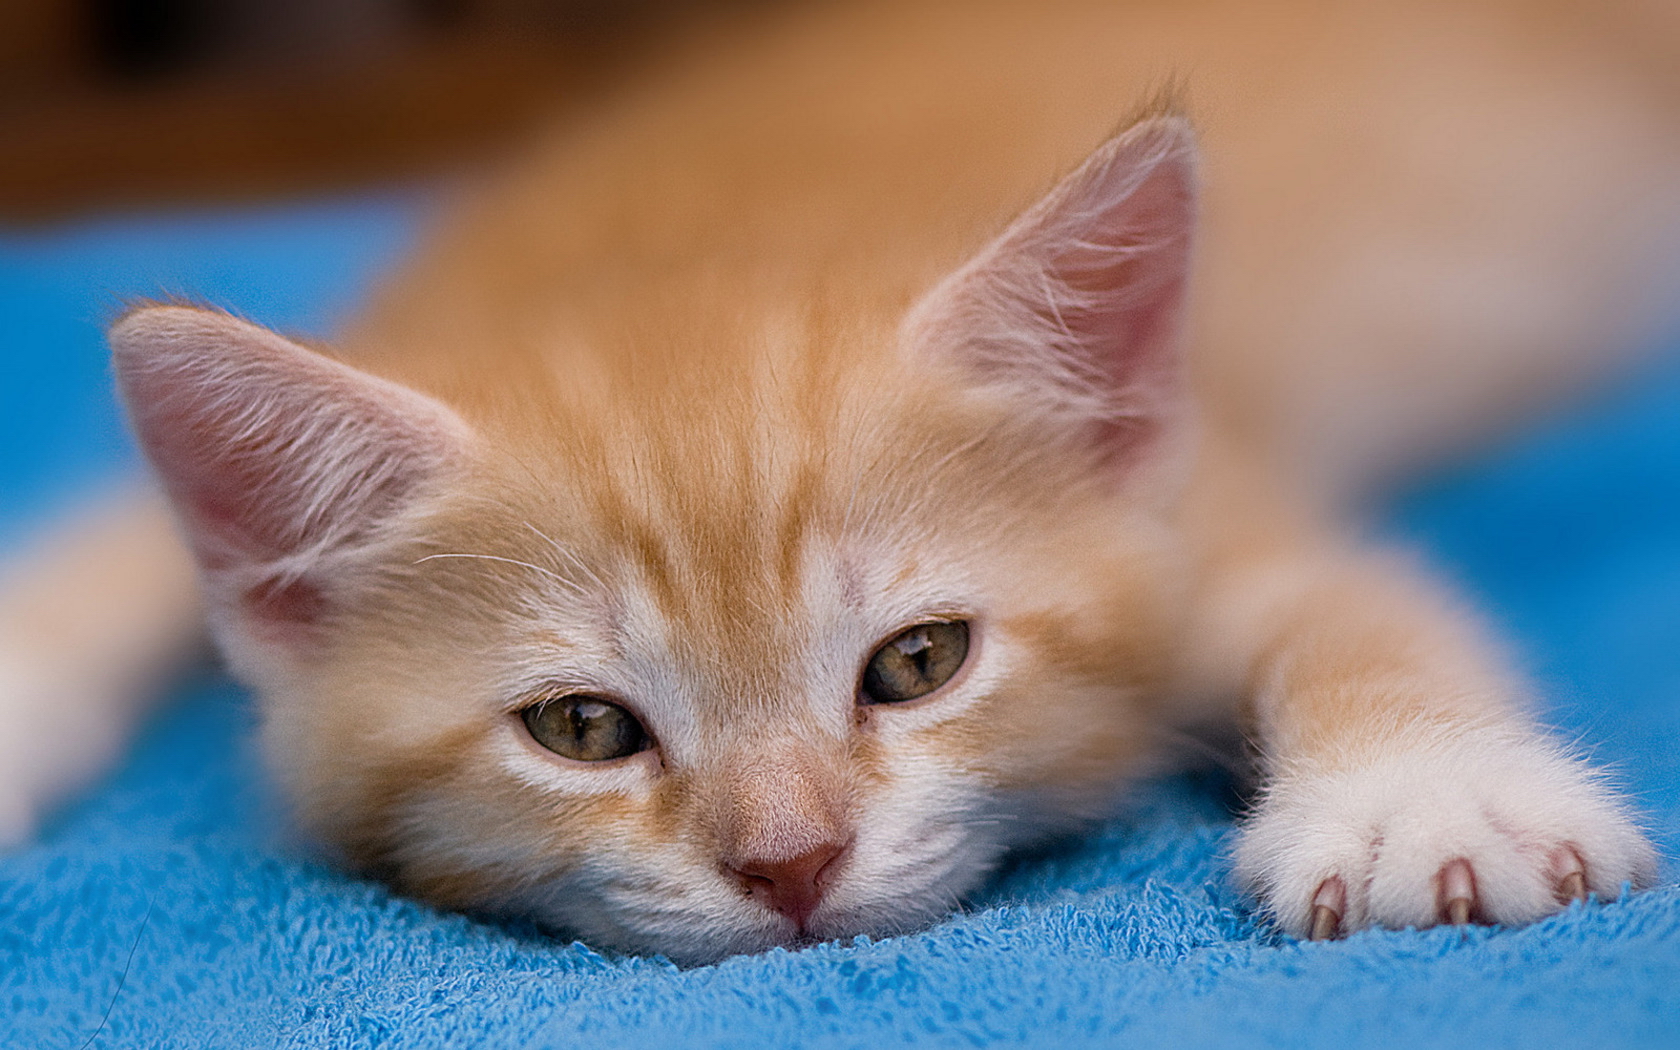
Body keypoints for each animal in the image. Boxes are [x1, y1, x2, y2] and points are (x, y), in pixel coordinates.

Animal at [3, 0, 1680, 960]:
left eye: (918, 661)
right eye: (583, 727)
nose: (790, 862)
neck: (690, 243)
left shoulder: (1199, 492)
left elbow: (1350, 596)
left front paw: (1427, 796)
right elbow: (120, 536)